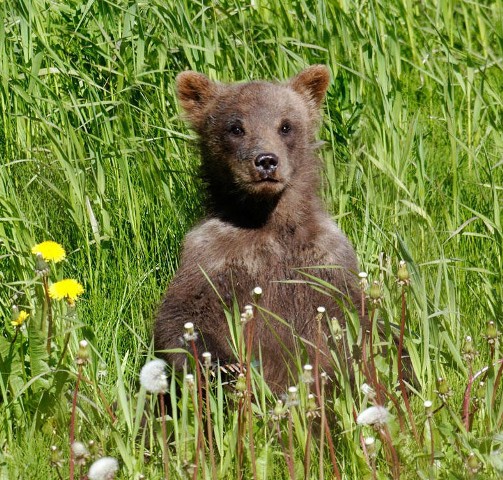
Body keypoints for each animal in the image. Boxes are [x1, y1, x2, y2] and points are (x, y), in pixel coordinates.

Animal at [155, 65, 362, 392]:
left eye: (286, 126)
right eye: (236, 127)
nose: (266, 161)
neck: (267, 220)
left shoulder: (327, 258)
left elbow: (354, 320)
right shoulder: (211, 256)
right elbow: (182, 317)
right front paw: (223, 367)